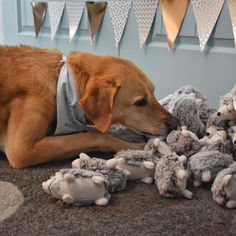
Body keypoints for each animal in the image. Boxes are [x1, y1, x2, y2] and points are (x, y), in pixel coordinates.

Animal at [0, 45, 177, 169]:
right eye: (140, 102)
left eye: (154, 92)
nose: (176, 124)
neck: (62, 83)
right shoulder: (22, 149)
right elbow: (98, 136)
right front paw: (137, 148)